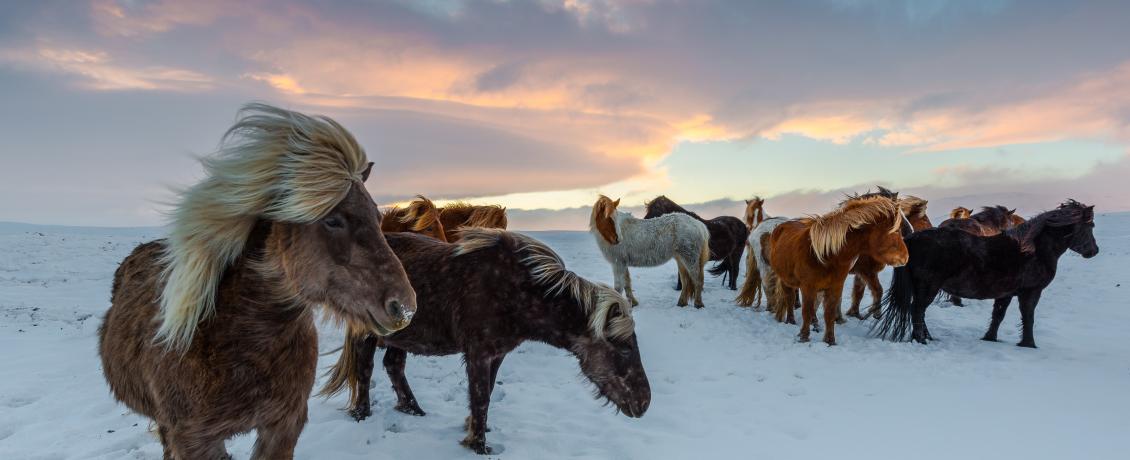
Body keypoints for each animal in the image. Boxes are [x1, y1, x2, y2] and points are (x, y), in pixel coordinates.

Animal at [320, 229, 655, 454]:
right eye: (624, 346)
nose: (644, 403)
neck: (517, 290)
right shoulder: (479, 354)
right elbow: (481, 396)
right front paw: (478, 445)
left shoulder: (497, 354)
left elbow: (487, 393)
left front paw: (473, 430)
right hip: (367, 334)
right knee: (364, 370)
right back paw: (362, 414)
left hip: (401, 336)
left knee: (393, 365)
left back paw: (413, 410)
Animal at [763, 195, 904, 345]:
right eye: (896, 231)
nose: (906, 257)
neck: (825, 254)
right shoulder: (808, 287)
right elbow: (806, 311)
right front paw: (804, 337)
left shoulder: (835, 286)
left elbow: (829, 313)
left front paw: (830, 341)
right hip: (786, 279)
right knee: (789, 298)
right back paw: (791, 321)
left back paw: (815, 324)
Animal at [867, 200, 1098, 348]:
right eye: (1090, 226)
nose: (1094, 251)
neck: (1032, 250)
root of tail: (911, 239)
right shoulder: (1030, 292)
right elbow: (1028, 317)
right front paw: (1029, 344)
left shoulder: (1006, 294)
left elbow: (998, 316)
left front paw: (990, 338)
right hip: (928, 287)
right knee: (917, 311)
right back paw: (921, 340)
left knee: (919, 313)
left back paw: (928, 338)